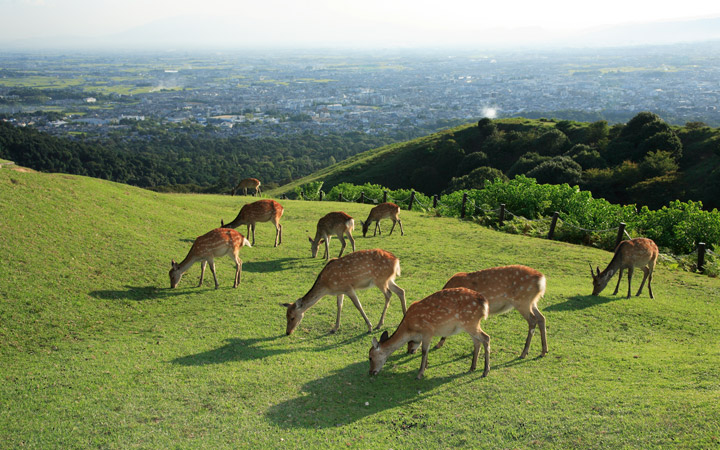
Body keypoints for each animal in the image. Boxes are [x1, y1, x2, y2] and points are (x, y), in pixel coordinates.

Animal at [420, 268, 548, 358]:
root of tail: (541, 280)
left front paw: (439, 343)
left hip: (522, 301)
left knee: (533, 320)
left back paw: (524, 352)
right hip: (532, 301)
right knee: (541, 317)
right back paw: (544, 351)